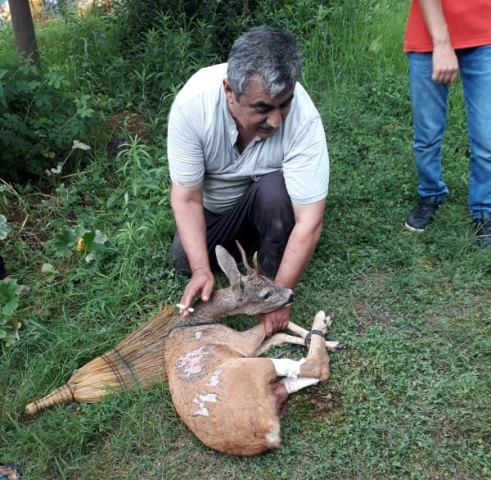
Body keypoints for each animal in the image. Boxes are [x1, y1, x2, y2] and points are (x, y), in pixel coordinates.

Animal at [165, 246, 342, 456]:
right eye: (265, 294)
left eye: (269, 279)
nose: (291, 294)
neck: (197, 320)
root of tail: (266, 435)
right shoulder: (239, 342)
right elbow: (270, 326)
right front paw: (324, 335)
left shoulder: (246, 349)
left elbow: (278, 334)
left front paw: (322, 339)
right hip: (252, 368)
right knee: (317, 368)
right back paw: (321, 321)